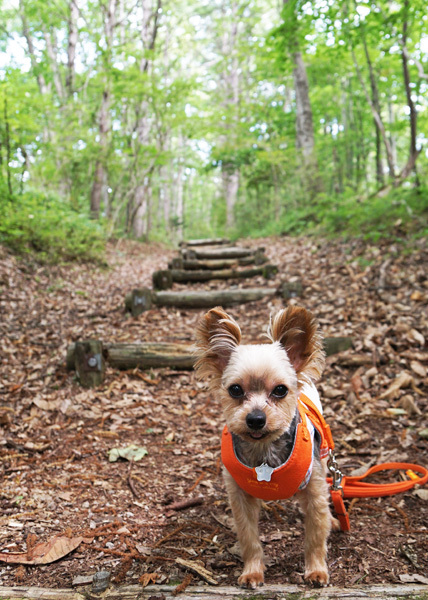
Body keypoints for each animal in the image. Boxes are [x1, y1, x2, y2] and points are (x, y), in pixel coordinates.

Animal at [196, 308, 340, 588]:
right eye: (235, 389)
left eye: (280, 390)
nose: (255, 419)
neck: (263, 451)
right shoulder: (239, 495)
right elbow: (249, 538)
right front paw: (252, 572)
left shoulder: (315, 489)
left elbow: (316, 534)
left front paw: (316, 570)